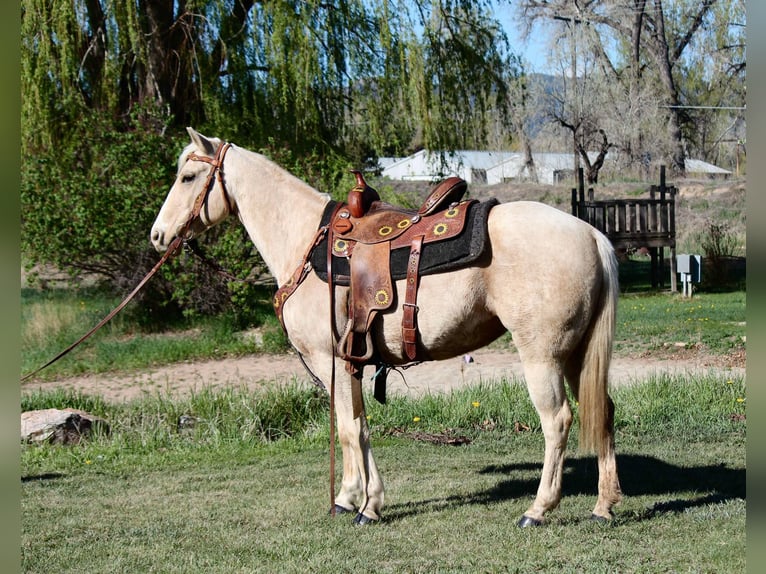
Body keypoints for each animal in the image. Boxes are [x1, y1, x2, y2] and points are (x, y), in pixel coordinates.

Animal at [150, 127, 622, 527]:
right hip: (576, 355)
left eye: (188, 176)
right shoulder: (352, 363)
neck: (305, 242)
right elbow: (358, 426)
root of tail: (591, 235)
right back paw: (603, 505)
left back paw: (538, 509)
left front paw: (360, 503)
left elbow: (348, 429)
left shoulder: (329, 361)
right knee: (603, 411)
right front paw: (357, 500)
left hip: (542, 355)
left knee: (557, 420)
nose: (157, 235)